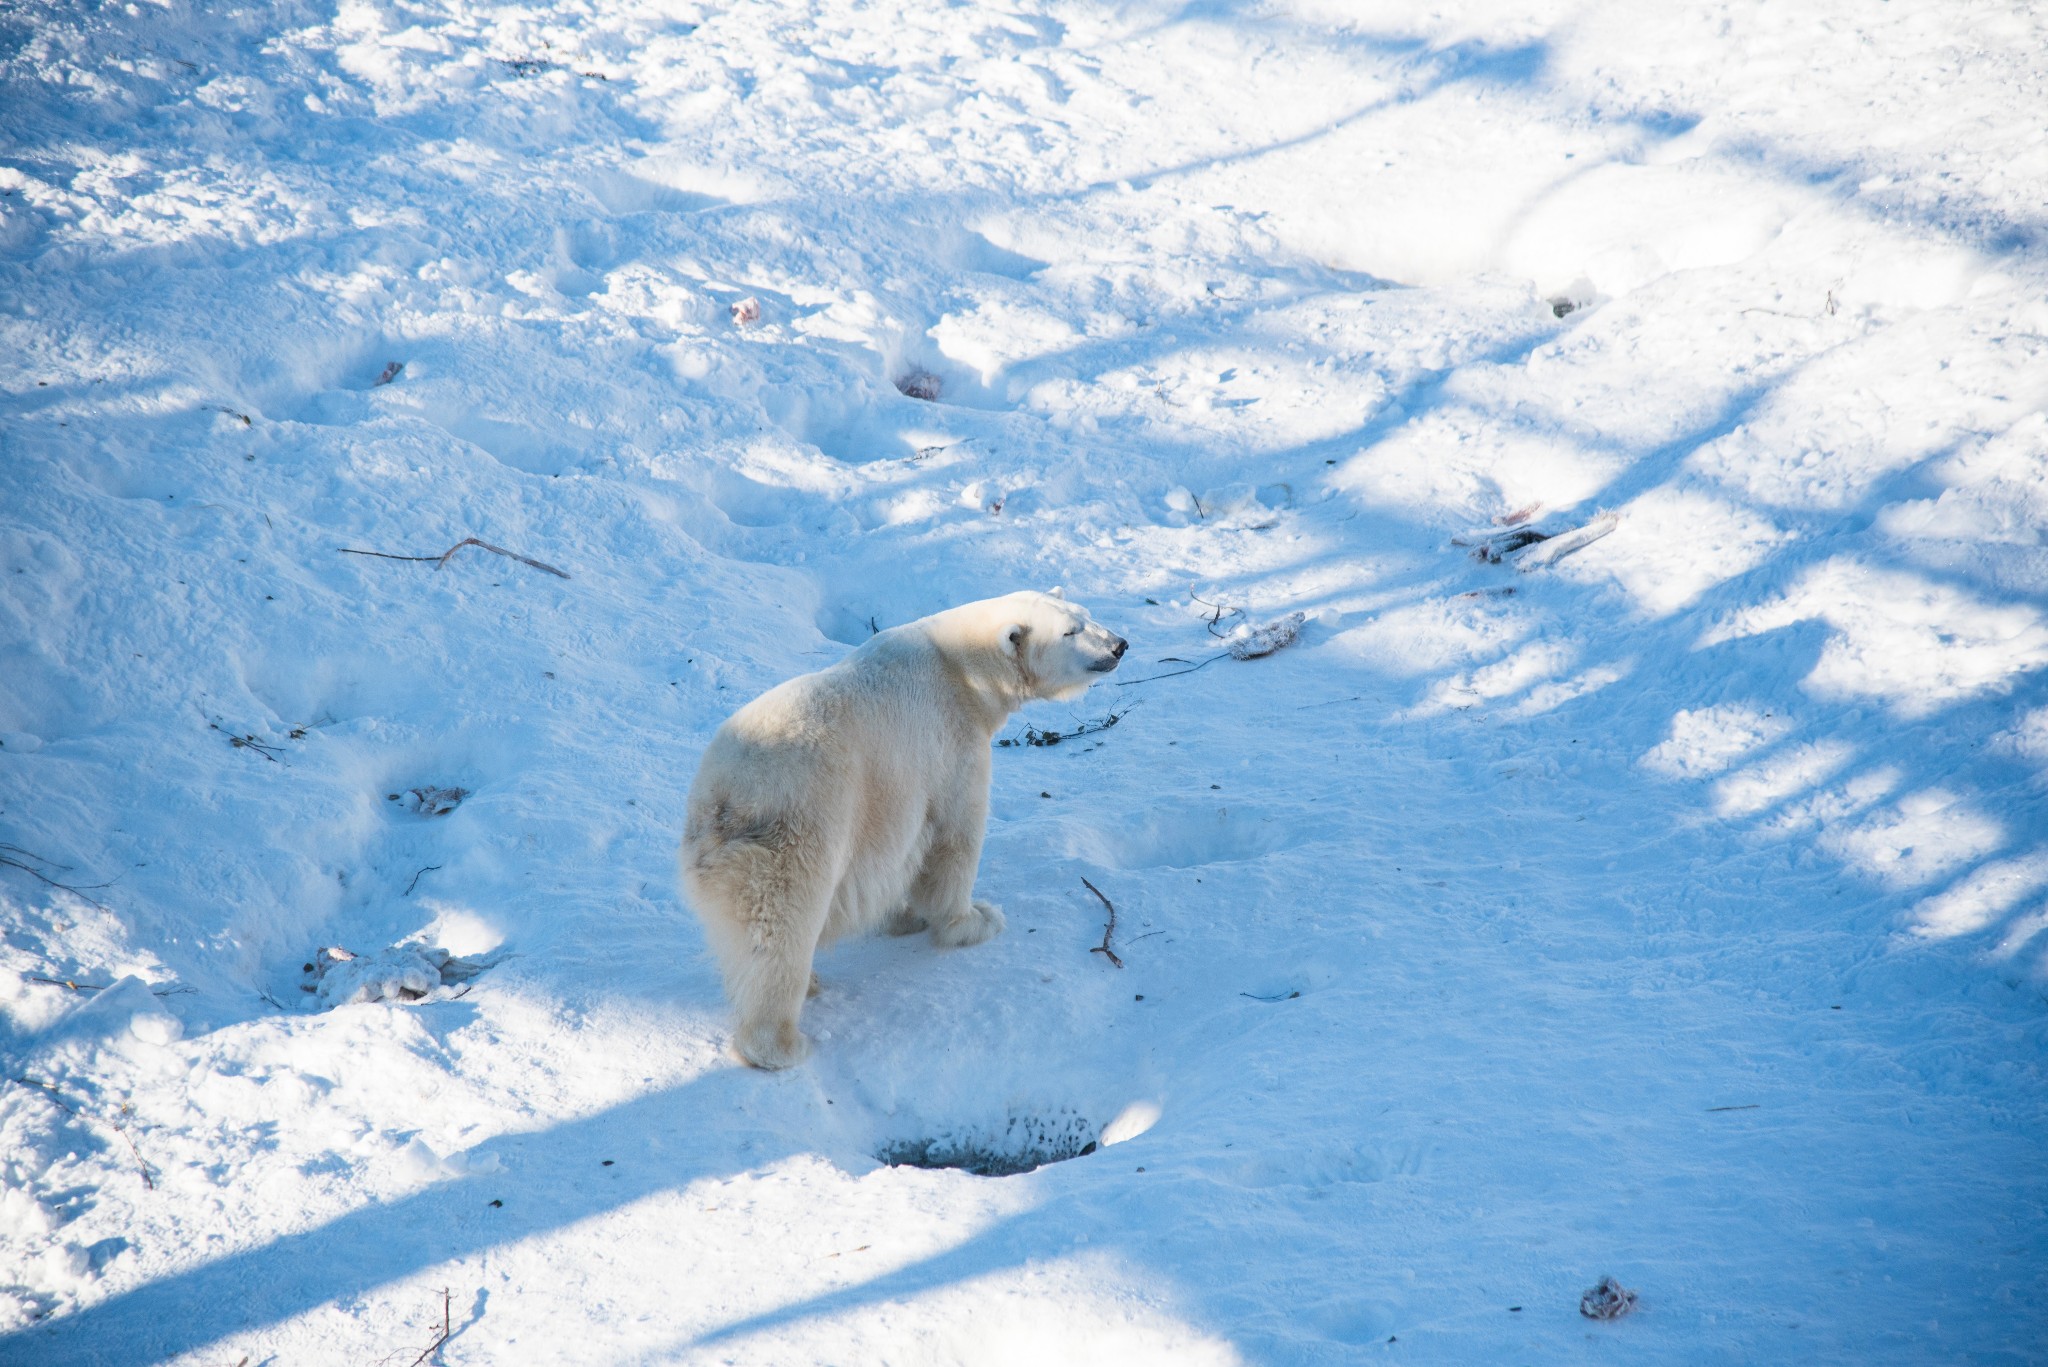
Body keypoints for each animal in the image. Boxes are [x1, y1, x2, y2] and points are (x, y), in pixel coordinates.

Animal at [679, 590, 1130, 1065]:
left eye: (1085, 615)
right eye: (1070, 632)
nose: (1119, 645)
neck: (961, 669)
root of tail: (723, 799)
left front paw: (903, 917)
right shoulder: (950, 746)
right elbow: (954, 838)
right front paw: (975, 919)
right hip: (797, 828)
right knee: (782, 928)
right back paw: (782, 1042)